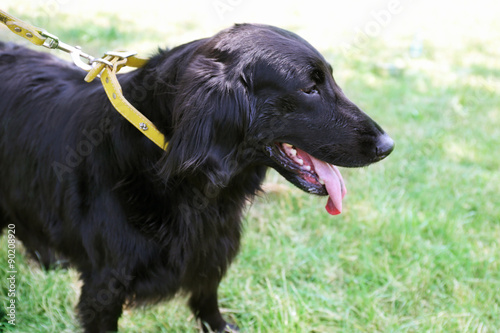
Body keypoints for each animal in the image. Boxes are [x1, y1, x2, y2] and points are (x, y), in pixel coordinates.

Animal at [0, 24, 392, 330]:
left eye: (330, 79)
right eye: (309, 89)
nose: (388, 146)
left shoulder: (212, 247)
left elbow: (208, 298)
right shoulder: (104, 285)